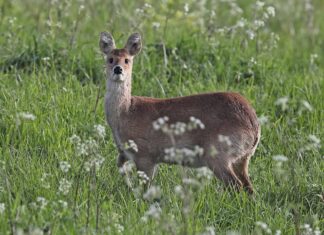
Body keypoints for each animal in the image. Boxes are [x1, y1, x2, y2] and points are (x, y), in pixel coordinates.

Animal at [98, 31, 260, 195]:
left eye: (127, 60)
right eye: (110, 59)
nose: (118, 69)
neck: (126, 113)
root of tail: (255, 126)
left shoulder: (145, 155)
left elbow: (146, 186)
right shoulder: (125, 153)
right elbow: (120, 166)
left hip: (217, 154)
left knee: (236, 185)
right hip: (242, 159)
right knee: (249, 188)